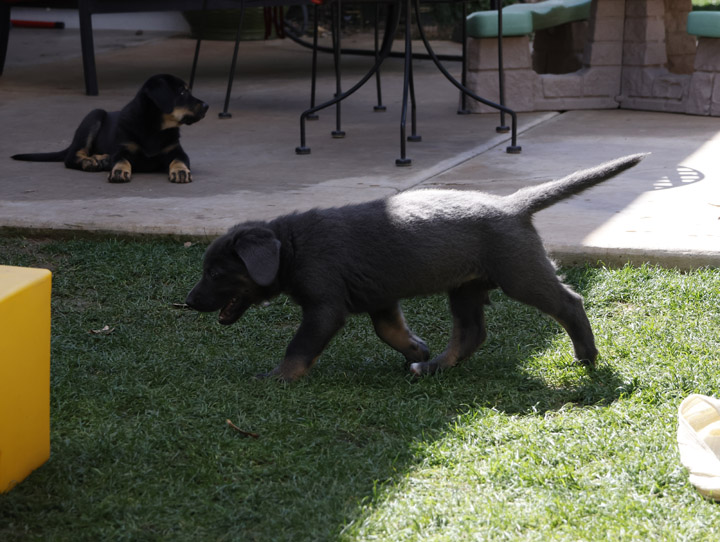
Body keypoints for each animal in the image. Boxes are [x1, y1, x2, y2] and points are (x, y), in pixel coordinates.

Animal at [11, 74, 208, 185]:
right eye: (182, 92)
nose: (207, 106)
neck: (154, 127)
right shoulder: (123, 148)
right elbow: (121, 159)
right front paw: (119, 171)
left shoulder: (175, 150)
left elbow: (179, 160)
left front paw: (181, 172)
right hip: (94, 115)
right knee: (71, 157)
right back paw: (91, 162)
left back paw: (101, 159)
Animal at [186, 153, 648, 382]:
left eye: (215, 273)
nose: (188, 303)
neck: (293, 246)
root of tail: (513, 205)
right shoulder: (380, 298)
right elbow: (388, 330)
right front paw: (417, 350)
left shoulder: (324, 308)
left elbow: (298, 348)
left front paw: (277, 378)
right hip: (466, 287)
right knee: (471, 333)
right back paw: (432, 367)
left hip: (520, 273)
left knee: (569, 303)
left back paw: (586, 357)